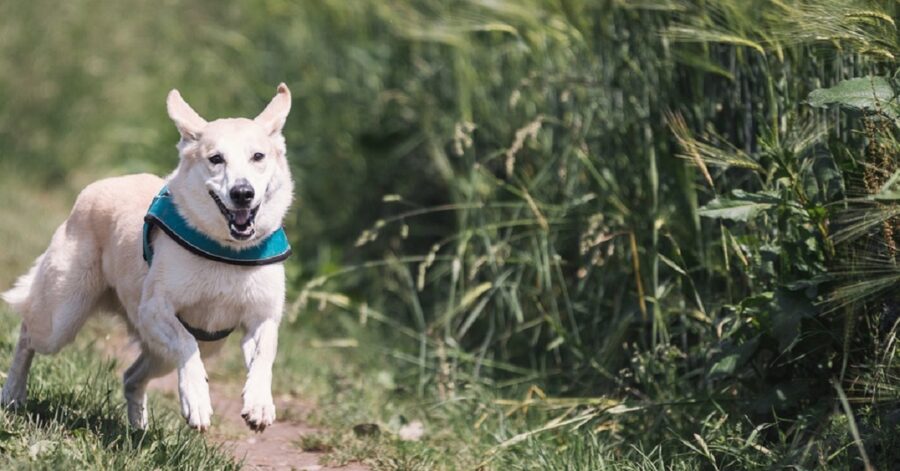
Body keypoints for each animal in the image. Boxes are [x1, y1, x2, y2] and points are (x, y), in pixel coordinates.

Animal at [0, 83, 296, 434]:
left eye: (258, 156)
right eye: (216, 159)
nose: (242, 193)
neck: (226, 251)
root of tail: (96, 187)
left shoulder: (262, 317)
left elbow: (265, 356)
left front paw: (259, 404)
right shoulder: (155, 309)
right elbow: (186, 343)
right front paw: (197, 400)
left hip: (178, 350)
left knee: (131, 377)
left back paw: (138, 430)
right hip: (61, 318)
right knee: (27, 334)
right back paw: (13, 394)